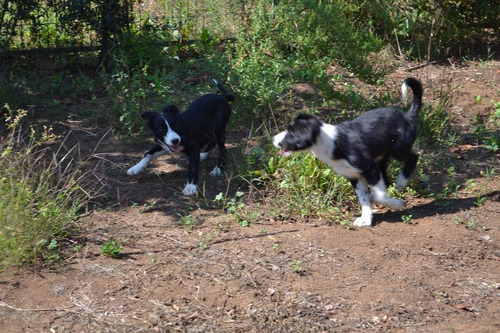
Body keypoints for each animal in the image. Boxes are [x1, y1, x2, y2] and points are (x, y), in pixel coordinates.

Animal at [274, 77, 422, 226]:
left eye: (290, 134)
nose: (273, 139)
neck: (330, 143)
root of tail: (407, 116)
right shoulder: (354, 176)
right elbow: (363, 198)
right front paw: (366, 219)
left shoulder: (369, 168)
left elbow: (380, 196)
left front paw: (397, 204)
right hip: (382, 159)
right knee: (386, 180)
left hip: (398, 149)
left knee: (413, 157)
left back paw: (401, 182)